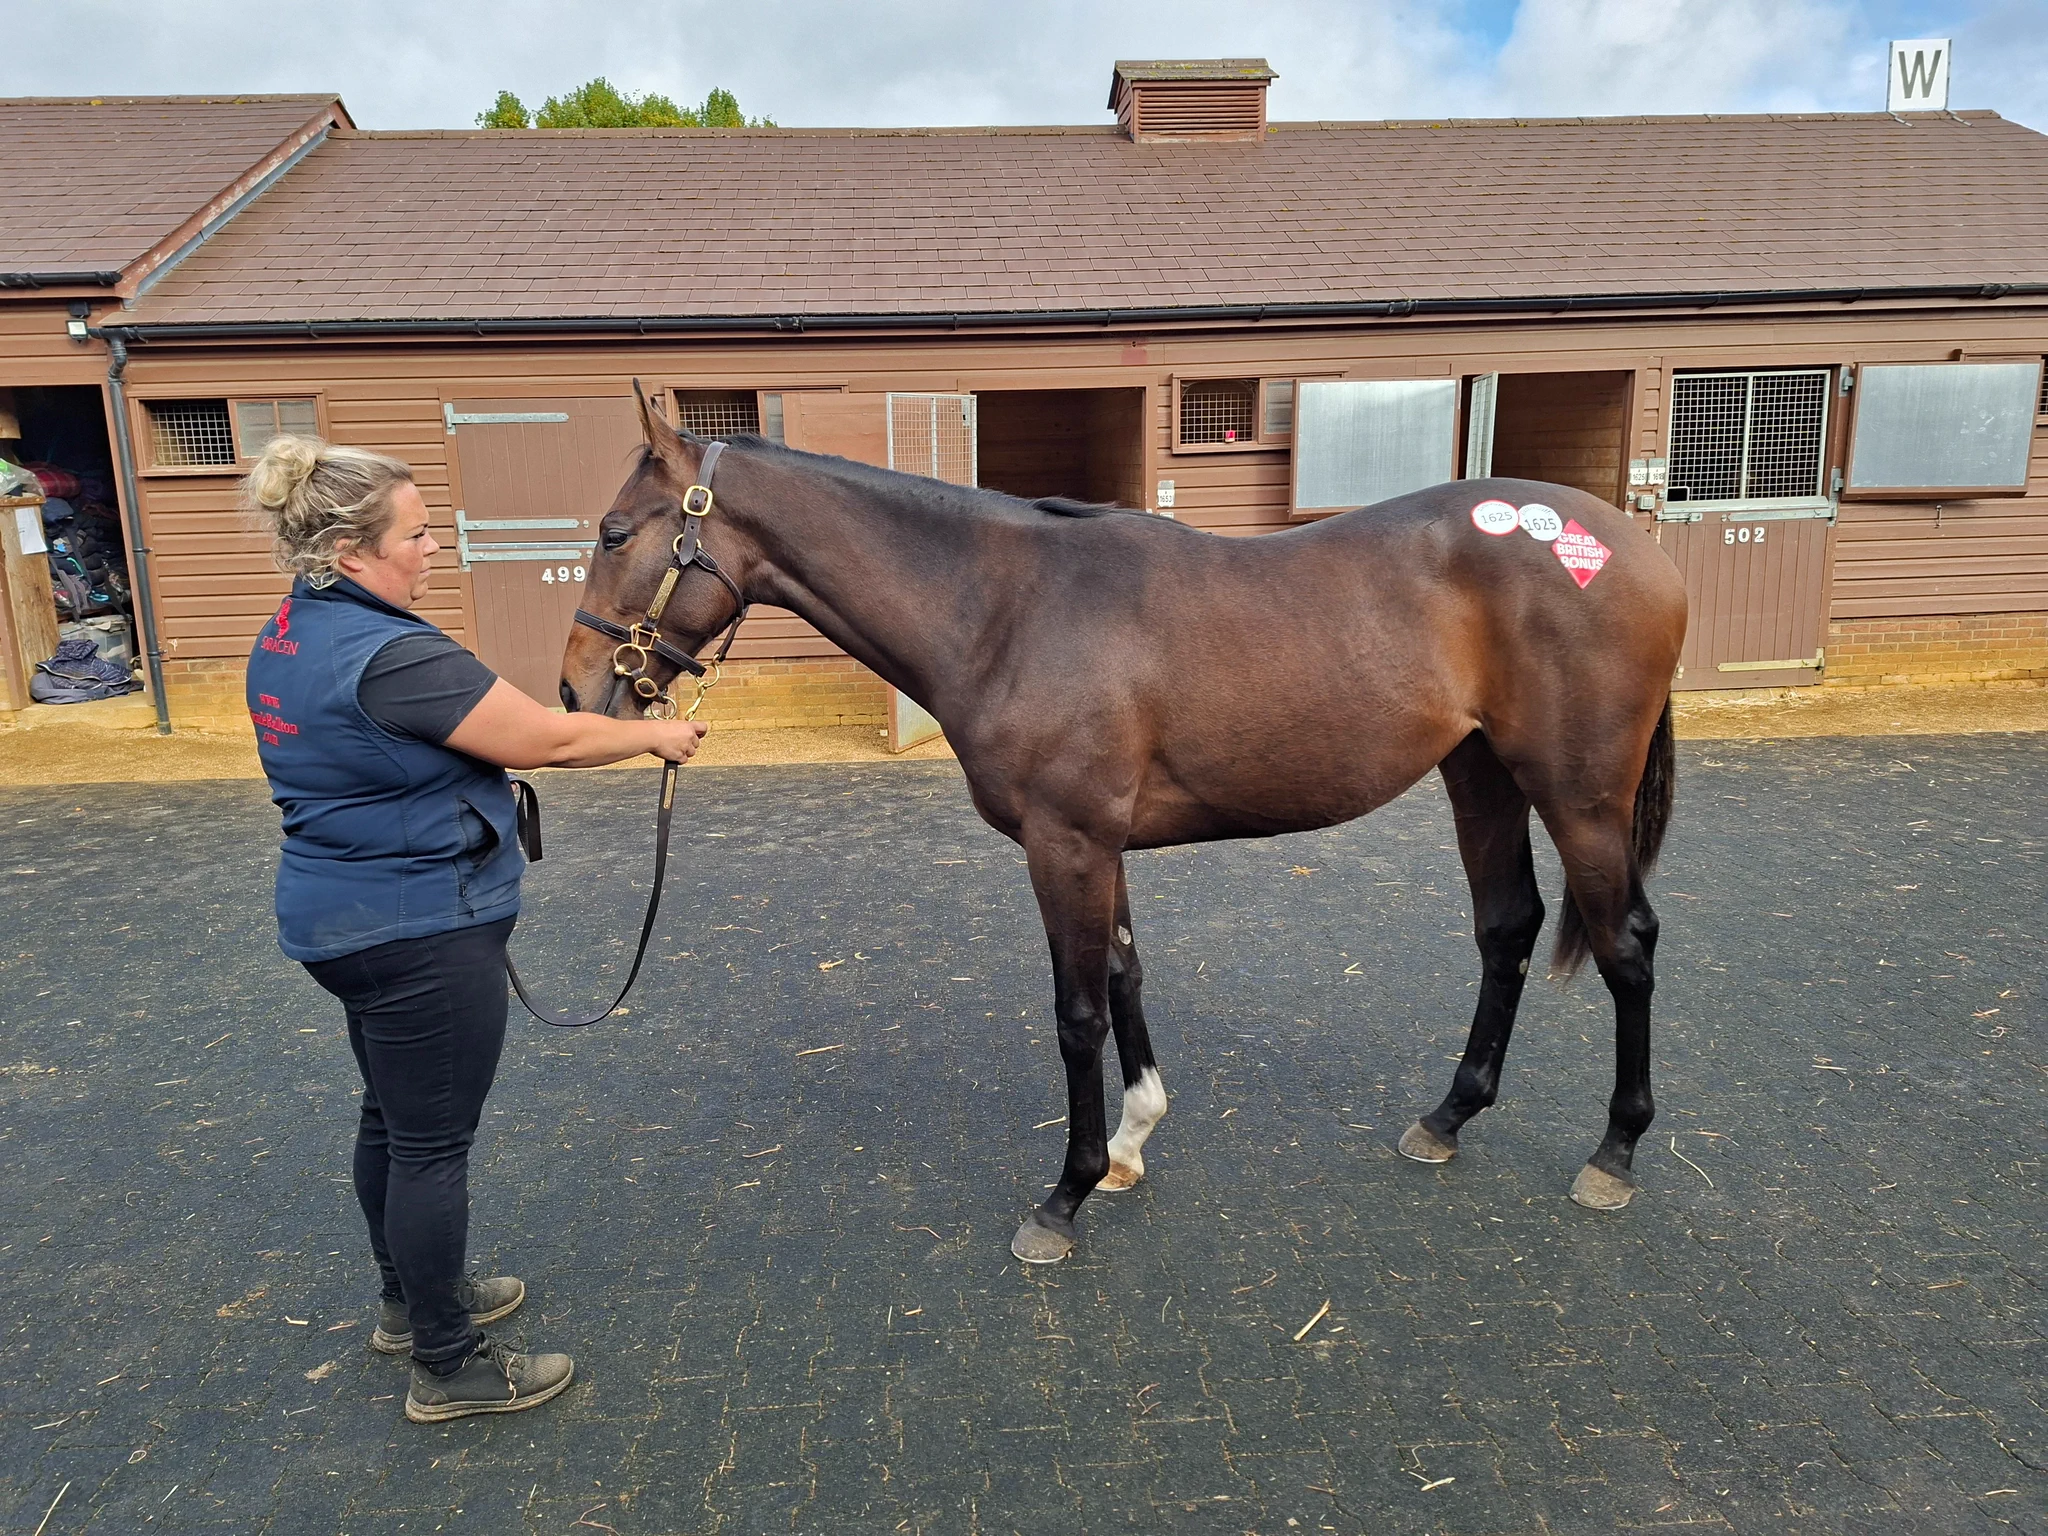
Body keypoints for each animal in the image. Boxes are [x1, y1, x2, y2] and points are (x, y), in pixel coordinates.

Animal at [560, 387, 1688, 1265]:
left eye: (615, 533)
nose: (575, 692)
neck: (1007, 610)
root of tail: (1630, 545)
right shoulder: (1099, 846)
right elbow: (1123, 975)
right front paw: (1128, 1147)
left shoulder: (1064, 844)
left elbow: (1076, 1013)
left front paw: (1061, 1196)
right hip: (1481, 775)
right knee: (1506, 927)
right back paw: (1447, 1117)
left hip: (1579, 795)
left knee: (1627, 943)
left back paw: (1614, 1153)